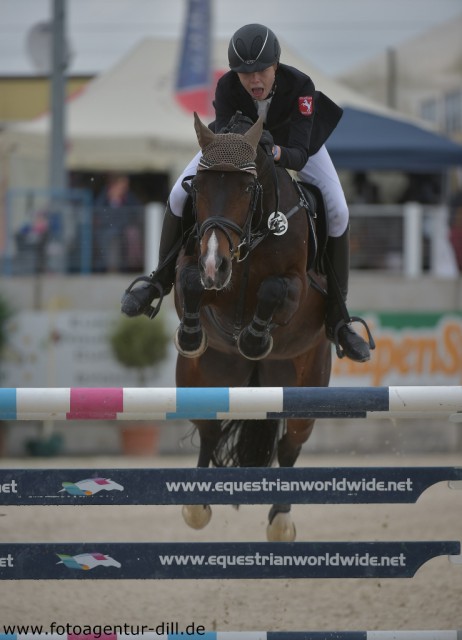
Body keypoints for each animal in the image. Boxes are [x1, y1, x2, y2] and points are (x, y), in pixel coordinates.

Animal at [174, 114, 332, 540]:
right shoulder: (192, 271)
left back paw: (280, 519)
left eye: (247, 188)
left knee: (290, 445)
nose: (216, 264)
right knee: (210, 431)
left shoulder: (297, 288)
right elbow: (189, 282)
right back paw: (196, 506)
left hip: (304, 382)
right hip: (206, 377)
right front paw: (191, 333)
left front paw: (255, 338)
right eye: (198, 187)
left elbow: (274, 289)